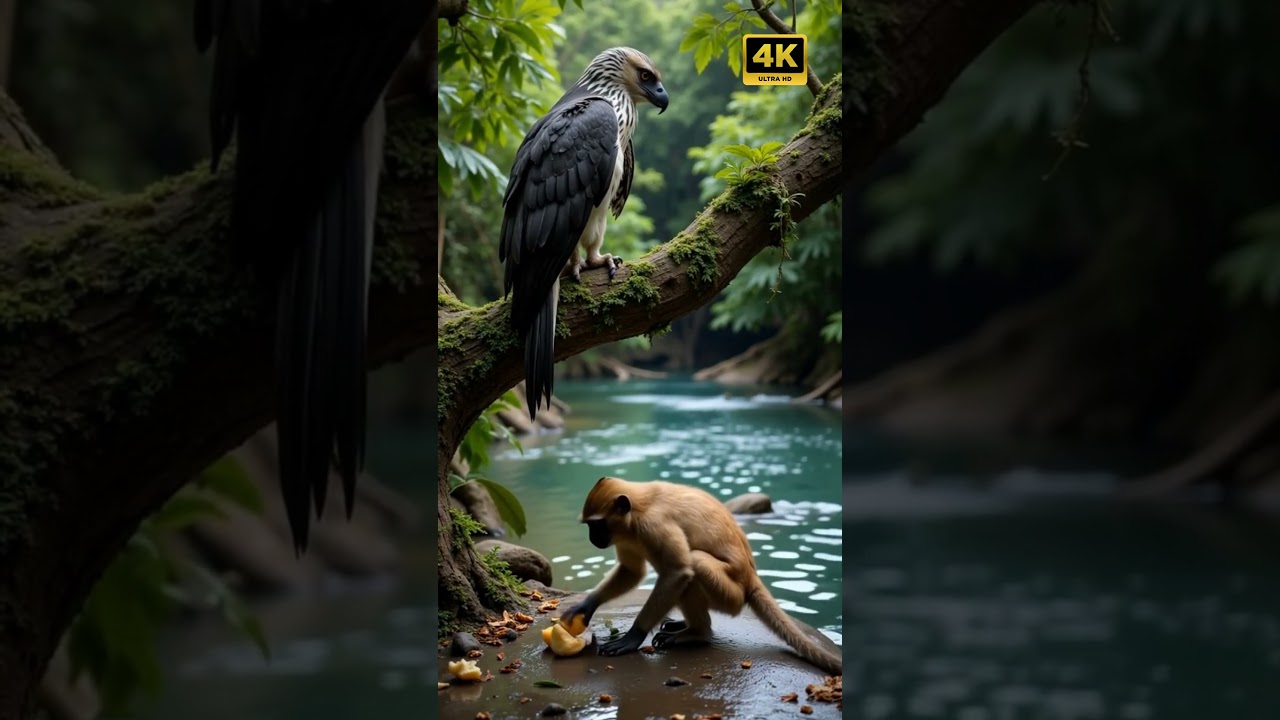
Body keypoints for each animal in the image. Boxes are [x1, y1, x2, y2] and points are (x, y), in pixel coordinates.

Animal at [560, 477, 843, 676]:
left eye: (596, 525)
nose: (593, 538)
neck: (640, 506)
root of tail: (750, 579)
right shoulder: (628, 533)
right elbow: (632, 571)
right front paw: (585, 607)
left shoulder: (654, 524)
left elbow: (678, 572)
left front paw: (633, 636)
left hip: (730, 597)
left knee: (695, 564)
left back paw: (697, 633)